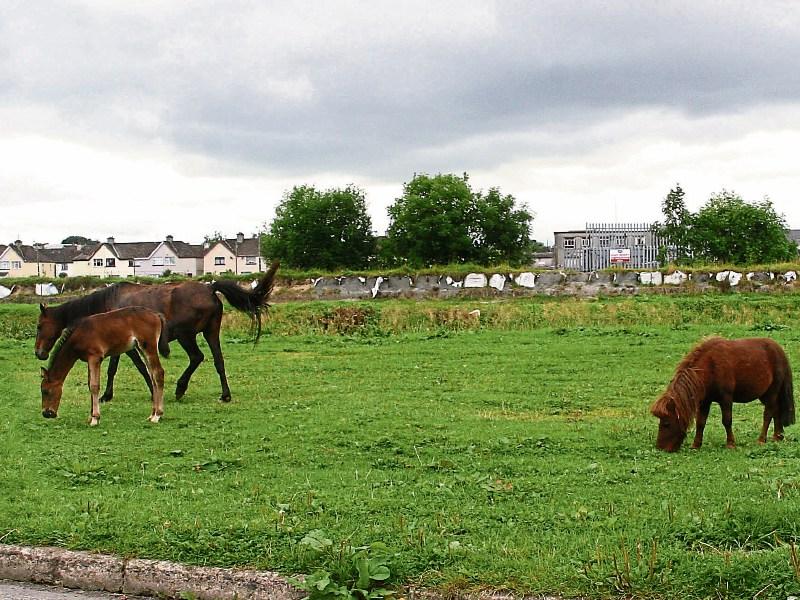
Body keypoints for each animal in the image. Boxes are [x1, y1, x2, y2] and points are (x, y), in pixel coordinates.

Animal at [35, 261, 279, 403]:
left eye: (39, 326)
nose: (39, 353)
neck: (107, 303)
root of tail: (210, 288)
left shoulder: (128, 346)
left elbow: (137, 367)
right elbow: (114, 369)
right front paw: (109, 394)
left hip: (186, 335)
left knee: (197, 357)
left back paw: (180, 388)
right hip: (210, 332)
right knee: (218, 360)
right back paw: (225, 394)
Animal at [41, 307, 170, 425]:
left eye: (45, 391)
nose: (46, 413)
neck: (80, 335)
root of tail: (156, 315)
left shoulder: (95, 358)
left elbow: (94, 386)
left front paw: (95, 418)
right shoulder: (89, 360)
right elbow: (90, 385)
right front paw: (91, 417)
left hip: (149, 347)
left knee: (158, 373)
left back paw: (157, 415)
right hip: (140, 348)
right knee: (152, 375)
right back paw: (152, 414)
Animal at [651, 337, 795, 452]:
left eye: (666, 423)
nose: (660, 448)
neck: (710, 367)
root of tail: (780, 351)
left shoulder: (726, 398)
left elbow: (727, 420)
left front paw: (730, 444)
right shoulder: (705, 401)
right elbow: (700, 422)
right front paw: (696, 445)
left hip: (772, 392)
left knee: (768, 413)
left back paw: (761, 439)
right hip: (764, 394)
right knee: (776, 410)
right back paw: (777, 436)